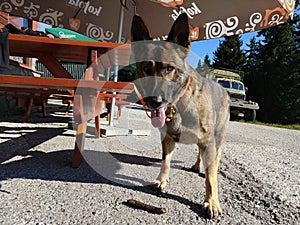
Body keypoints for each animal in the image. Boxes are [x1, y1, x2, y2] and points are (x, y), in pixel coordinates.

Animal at [131, 12, 230, 218]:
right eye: (146, 68)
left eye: (170, 69)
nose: (156, 101)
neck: (179, 104)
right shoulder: (168, 139)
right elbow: (165, 162)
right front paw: (162, 180)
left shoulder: (209, 141)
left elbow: (211, 178)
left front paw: (211, 202)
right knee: (200, 154)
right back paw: (197, 165)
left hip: (218, 138)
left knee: (215, 159)